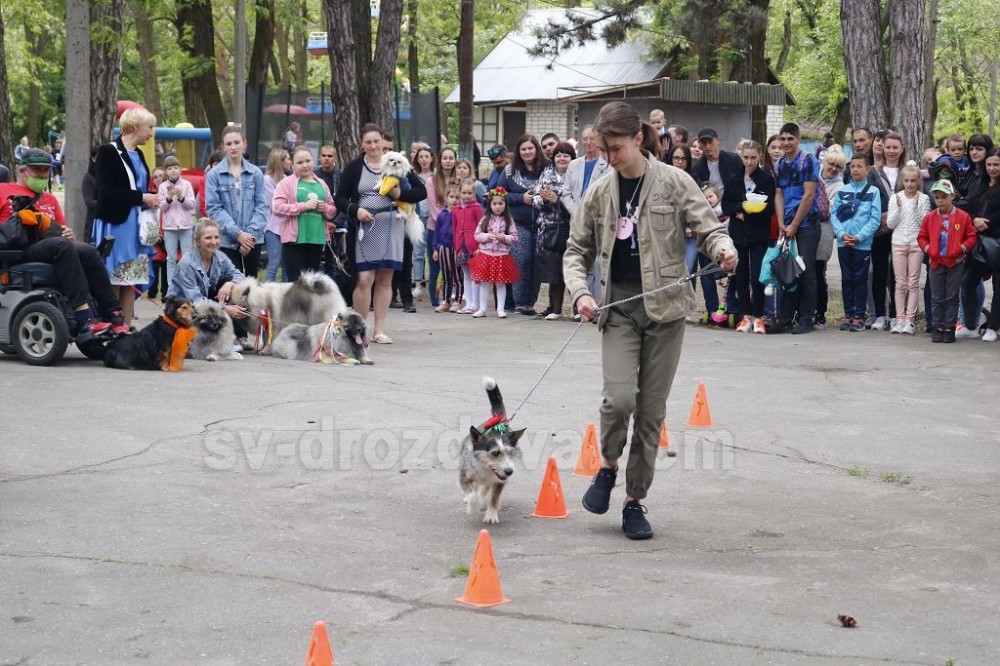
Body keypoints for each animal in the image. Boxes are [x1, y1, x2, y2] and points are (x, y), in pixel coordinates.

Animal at [458, 376, 528, 520]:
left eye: (510, 452)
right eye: (495, 453)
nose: (509, 471)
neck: (485, 469)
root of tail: (498, 422)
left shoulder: (500, 481)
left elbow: (494, 497)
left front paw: (491, 515)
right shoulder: (464, 475)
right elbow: (472, 494)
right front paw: (473, 507)